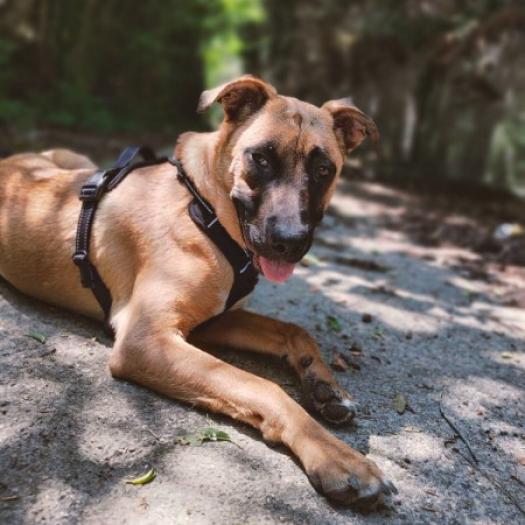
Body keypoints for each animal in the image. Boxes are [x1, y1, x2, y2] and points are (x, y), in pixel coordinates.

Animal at [0, 75, 392, 506]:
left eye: (323, 169)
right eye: (261, 158)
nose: (288, 242)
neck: (206, 207)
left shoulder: (213, 320)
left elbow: (293, 329)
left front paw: (325, 387)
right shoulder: (146, 340)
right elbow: (263, 386)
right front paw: (337, 457)